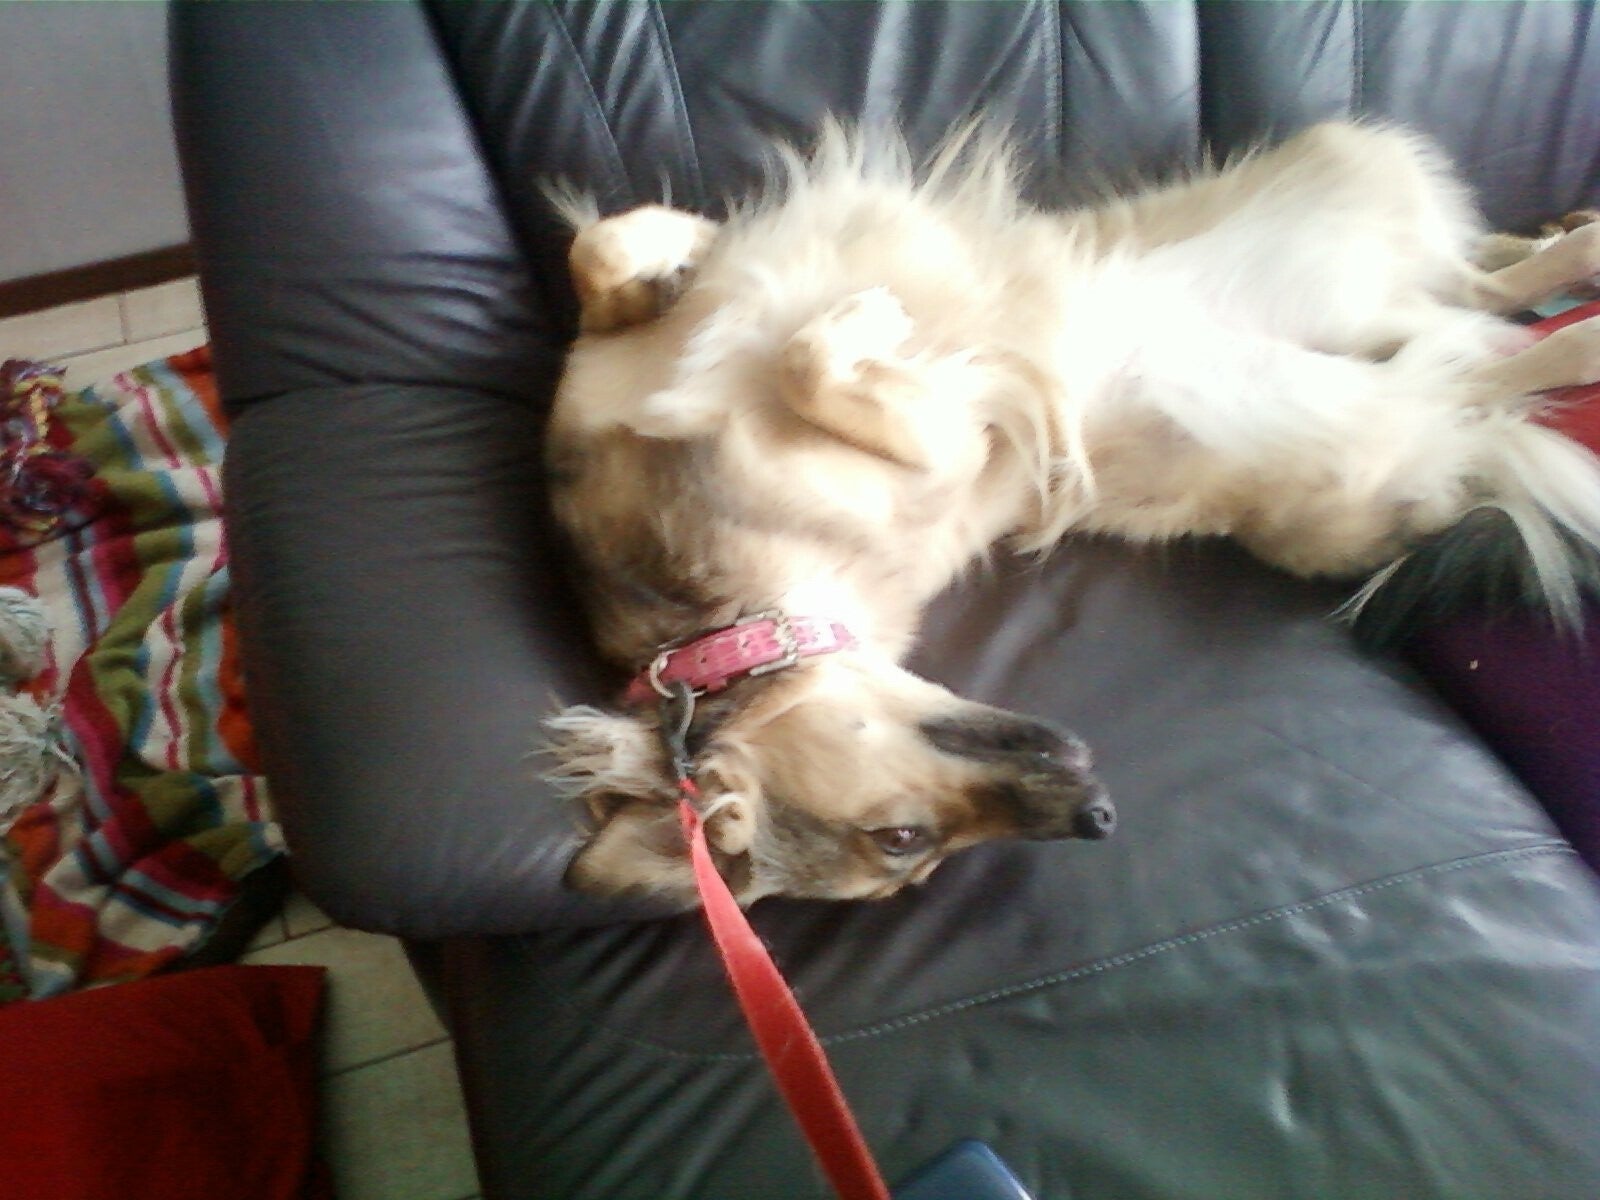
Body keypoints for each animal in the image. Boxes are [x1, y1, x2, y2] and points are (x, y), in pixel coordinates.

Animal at [541, 120, 1600, 909]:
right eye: (906, 844)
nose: (1097, 818)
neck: (731, 622)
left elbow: (609, 252)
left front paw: (694, 257)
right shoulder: (952, 447)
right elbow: (794, 348)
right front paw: (831, 315)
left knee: (1486, 303)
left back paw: (1566, 248)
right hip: (1357, 416)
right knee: (1492, 353)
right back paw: (1570, 305)